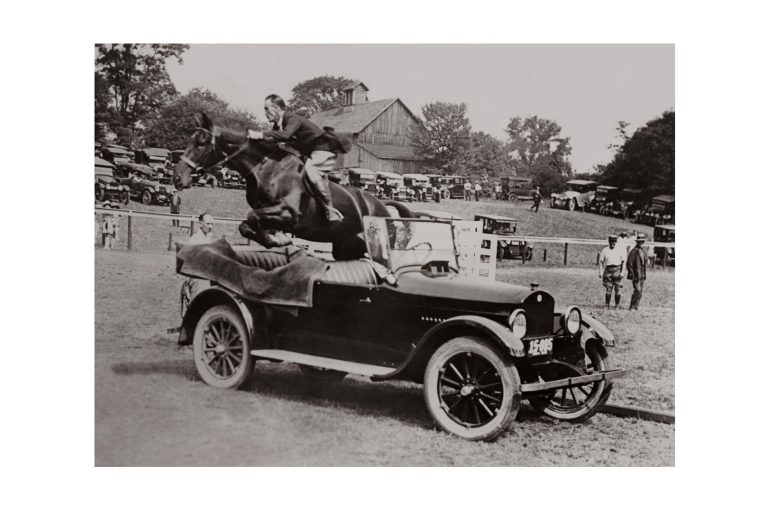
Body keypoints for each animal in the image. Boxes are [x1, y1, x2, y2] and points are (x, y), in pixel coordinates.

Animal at [171, 113, 412, 262]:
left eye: (201, 142)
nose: (177, 178)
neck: (266, 168)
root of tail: (382, 206)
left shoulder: (289, 215)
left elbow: (252, 217)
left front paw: (279, 239)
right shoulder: (268, 214)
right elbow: (247, 225)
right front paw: (276, 239)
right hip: (346, 247)